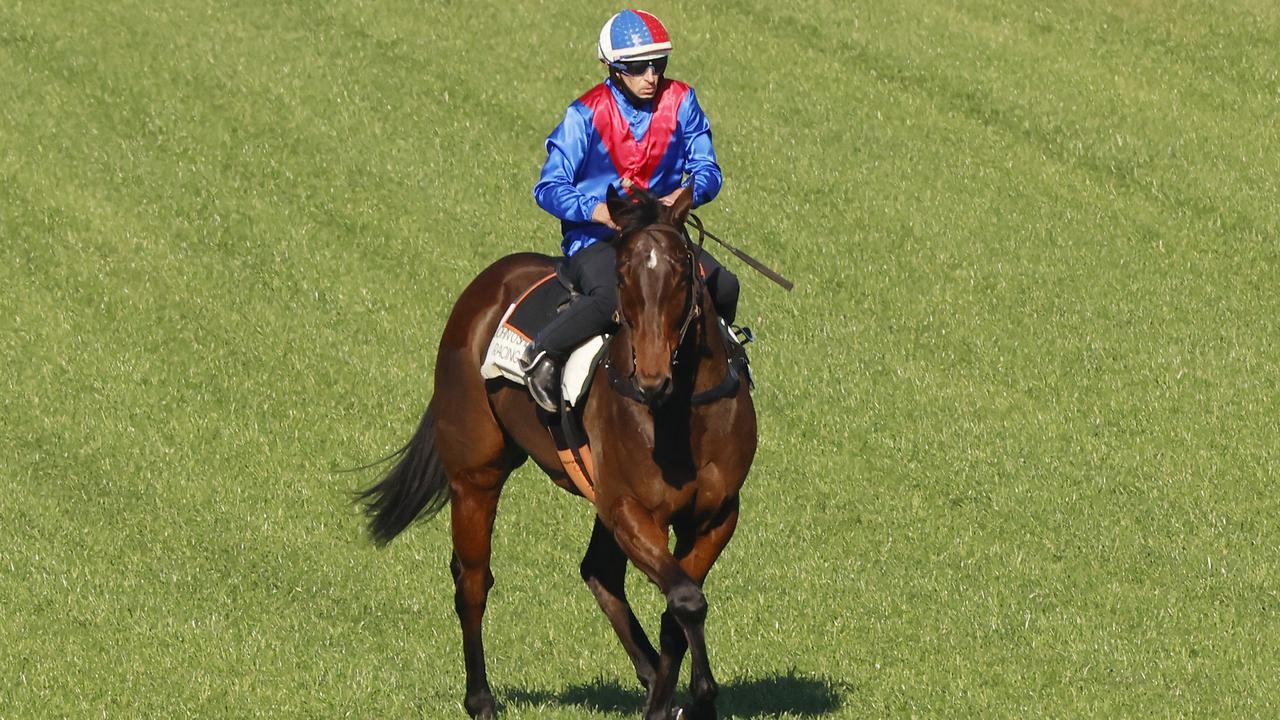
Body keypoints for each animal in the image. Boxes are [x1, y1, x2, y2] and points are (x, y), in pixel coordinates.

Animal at [355, 185, 752, 717]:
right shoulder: (630, 508)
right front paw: (686, 696)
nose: (650, 378)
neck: (681, 414)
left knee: (600, 573)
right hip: (475, 473)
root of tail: (489, 281)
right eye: (621, 276)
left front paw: (679, 697)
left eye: (683, 272)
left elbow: (680, 604)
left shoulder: (715, 515)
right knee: (473, 579)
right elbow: (687, 600)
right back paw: (481, 699)